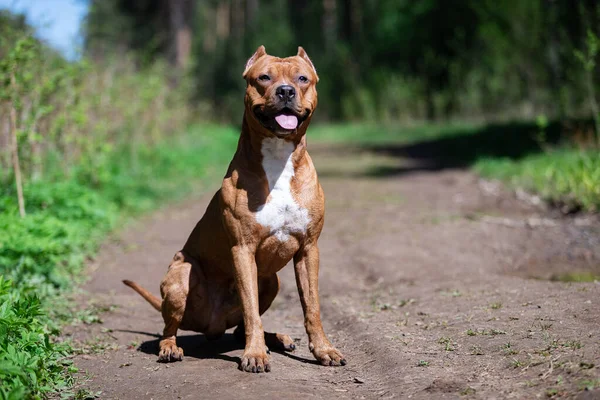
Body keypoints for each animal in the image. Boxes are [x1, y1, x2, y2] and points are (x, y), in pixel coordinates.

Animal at [124, 45, 344, 374]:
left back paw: (276, 339)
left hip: (271, 280)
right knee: (170, 327)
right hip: (180, 276)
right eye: (264, 77)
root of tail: (210, 325)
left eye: (302, 78)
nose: (286, 91)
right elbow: (250, 308)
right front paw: (255, 355)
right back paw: (170, 348)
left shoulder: (308, 249)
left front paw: (323, 350)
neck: (278, 158)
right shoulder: (243, 249)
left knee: (240, 327)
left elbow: (312, 306)